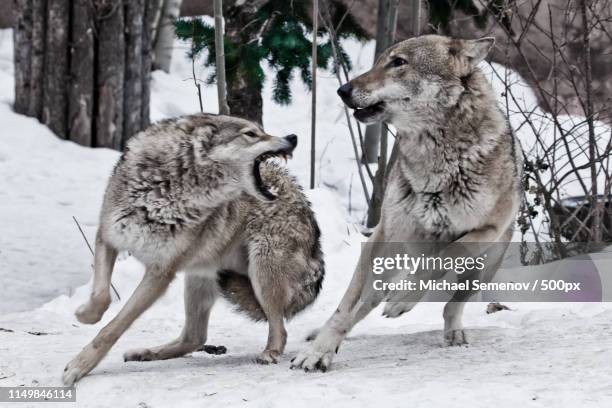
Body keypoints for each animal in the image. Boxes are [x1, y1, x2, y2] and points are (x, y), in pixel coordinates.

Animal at [63, 113, 326, 384]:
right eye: (251, 134)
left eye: (259, 131)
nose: (292, 137)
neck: (164, 189)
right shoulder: (108, 237)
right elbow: (101, 296)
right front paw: (84, 315)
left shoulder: (160, 273)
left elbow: (114, 326)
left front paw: (79, 365)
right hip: (198, 279)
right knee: (195, 337)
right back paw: (146, 353)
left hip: (261, 274)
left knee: (279, 329)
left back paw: (269, 354)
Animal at [292, 35, 520, 372]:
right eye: (378, 61)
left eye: (398, 62)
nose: (343, 90)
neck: (437, 163)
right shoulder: (385, 237)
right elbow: (345, 310)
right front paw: (318, 351)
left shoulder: (489, 228)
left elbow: (444, 257)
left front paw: (403, 298)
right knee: (364, 301)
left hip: (484, 265)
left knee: (452, 304)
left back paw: (448, 329)